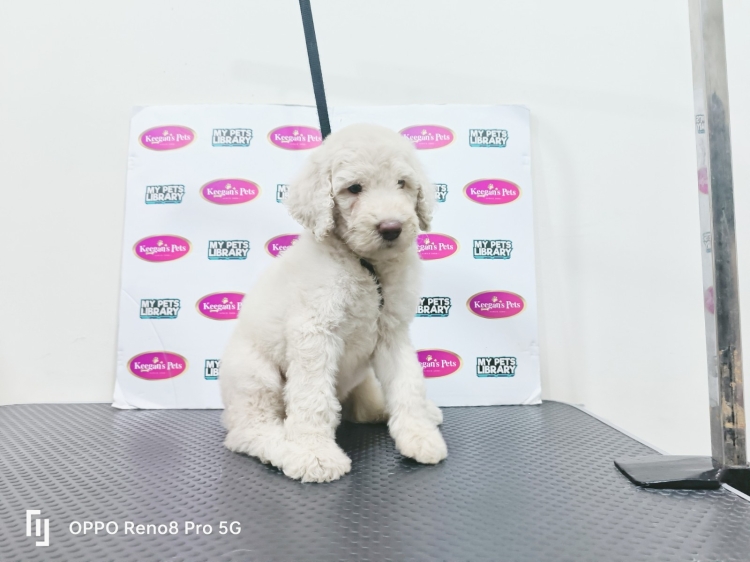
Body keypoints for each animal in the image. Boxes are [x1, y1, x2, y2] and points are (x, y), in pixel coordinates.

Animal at [220, 122, 450, 482]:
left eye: (402, 183)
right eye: (354, 188)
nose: (391, 228)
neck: (366, 264)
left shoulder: (392, 333)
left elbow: (408, 383)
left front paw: (420, 436)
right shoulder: (315, 333)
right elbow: (313, 398)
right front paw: (315, 456)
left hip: (359, 382)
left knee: (364, 406)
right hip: (256, 378)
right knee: (249, 430)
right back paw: (285, 447)